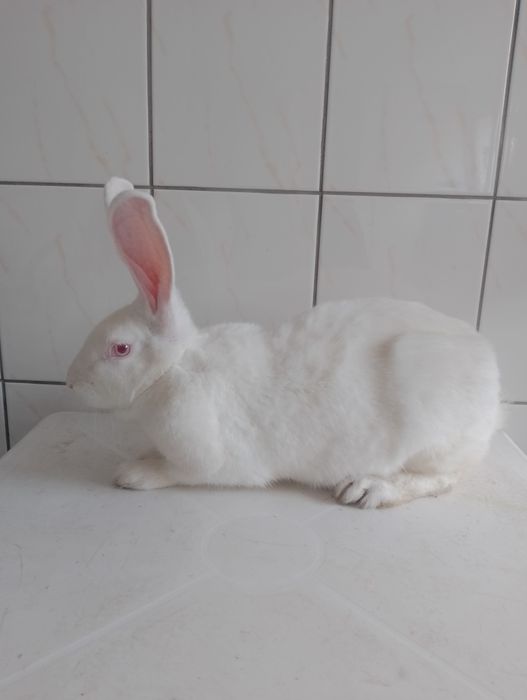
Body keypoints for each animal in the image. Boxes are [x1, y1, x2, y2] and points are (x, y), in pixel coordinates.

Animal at [66, 177, 501, 509]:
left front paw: (133, 473)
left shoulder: (204, 455)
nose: (71, 382)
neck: (175, 369)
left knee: (444, 478)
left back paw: (366, 489)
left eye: (120, 349)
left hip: (434, 436)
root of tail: (493, 384)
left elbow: (179, 470)